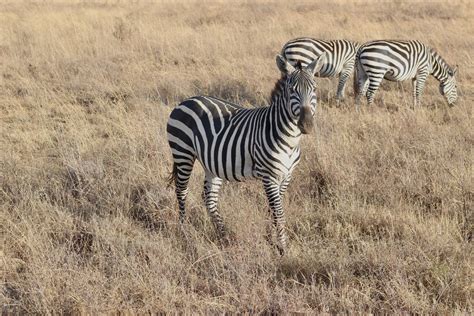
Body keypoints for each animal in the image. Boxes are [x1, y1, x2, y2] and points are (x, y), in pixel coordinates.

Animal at [168, 53, 328, 256]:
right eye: (292, 90)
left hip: (212, 162)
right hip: (183, 153)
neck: (289, 140)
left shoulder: (286, 176)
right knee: (182, 190)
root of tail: (187, 100)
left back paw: (224, 234)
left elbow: (272, 209)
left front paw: (270, 239)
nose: (306, 125)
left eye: (314, 89)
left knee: (209, 197)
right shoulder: (269, 176)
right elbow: (279, 212)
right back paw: (184, 232)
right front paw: (283, 248)